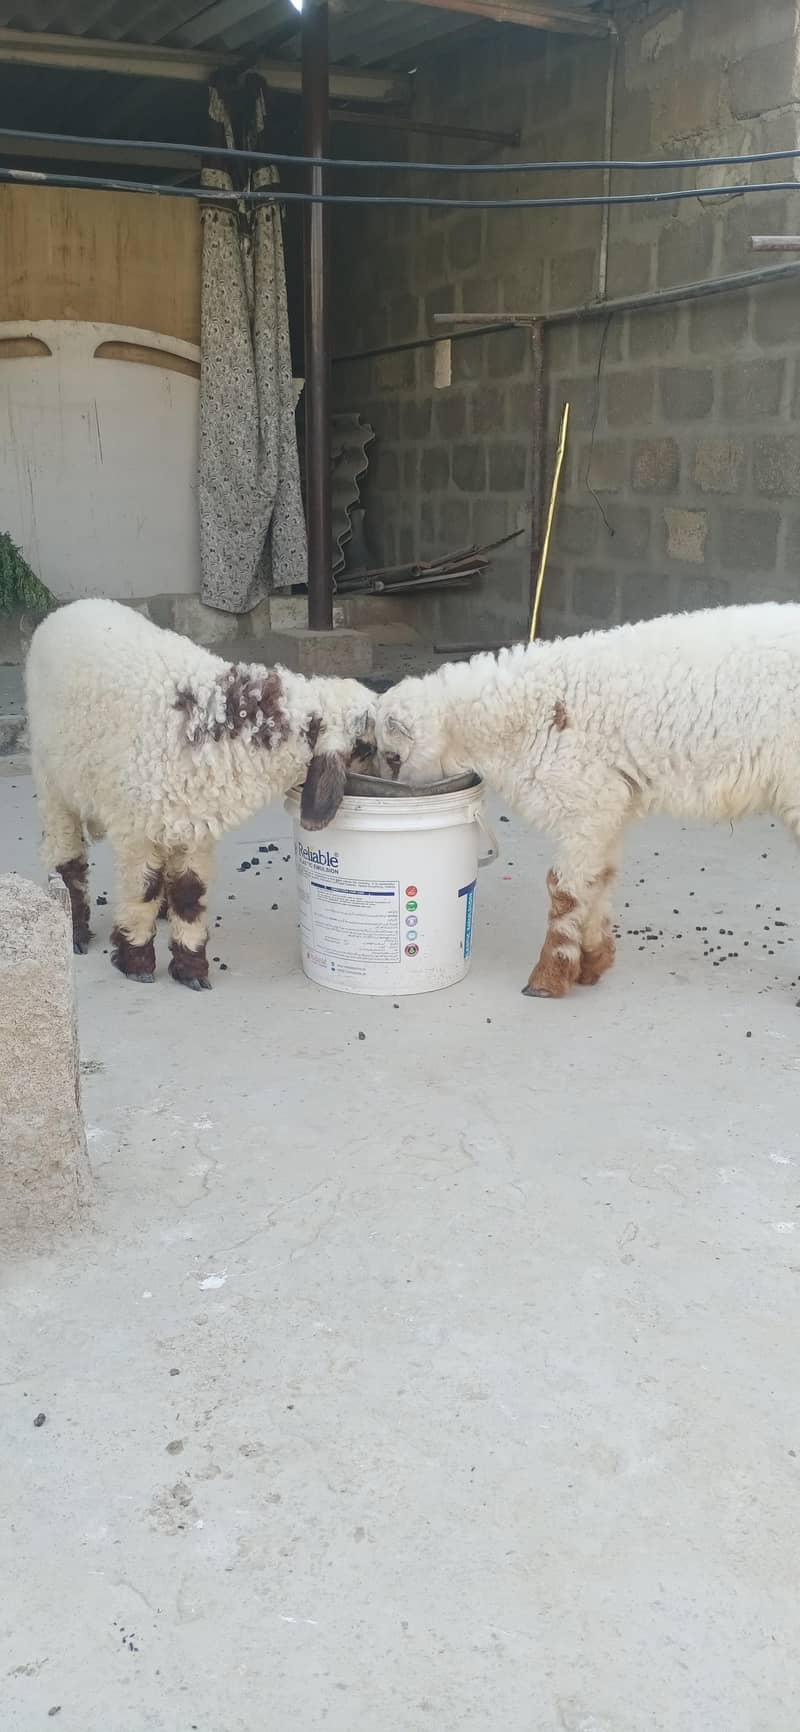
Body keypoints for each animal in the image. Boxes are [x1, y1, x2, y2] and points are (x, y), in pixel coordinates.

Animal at [26, 599, 374, 990]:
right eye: (370, 746)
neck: (219, 723)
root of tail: (70, 607)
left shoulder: (195, 826)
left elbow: (189, 892)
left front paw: (190, 968)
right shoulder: (136, 826)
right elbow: (142, 890)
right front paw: (137, 961)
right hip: (51, 777)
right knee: (65, 853)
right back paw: (74, 930)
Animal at [374, 602, 800, 1001]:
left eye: (392, 756)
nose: (387, 791)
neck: (525, 712)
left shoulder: (582, 800)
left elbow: (564, 889)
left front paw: (548, 978)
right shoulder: (607, 805)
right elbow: (600, 879)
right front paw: (594, 961)